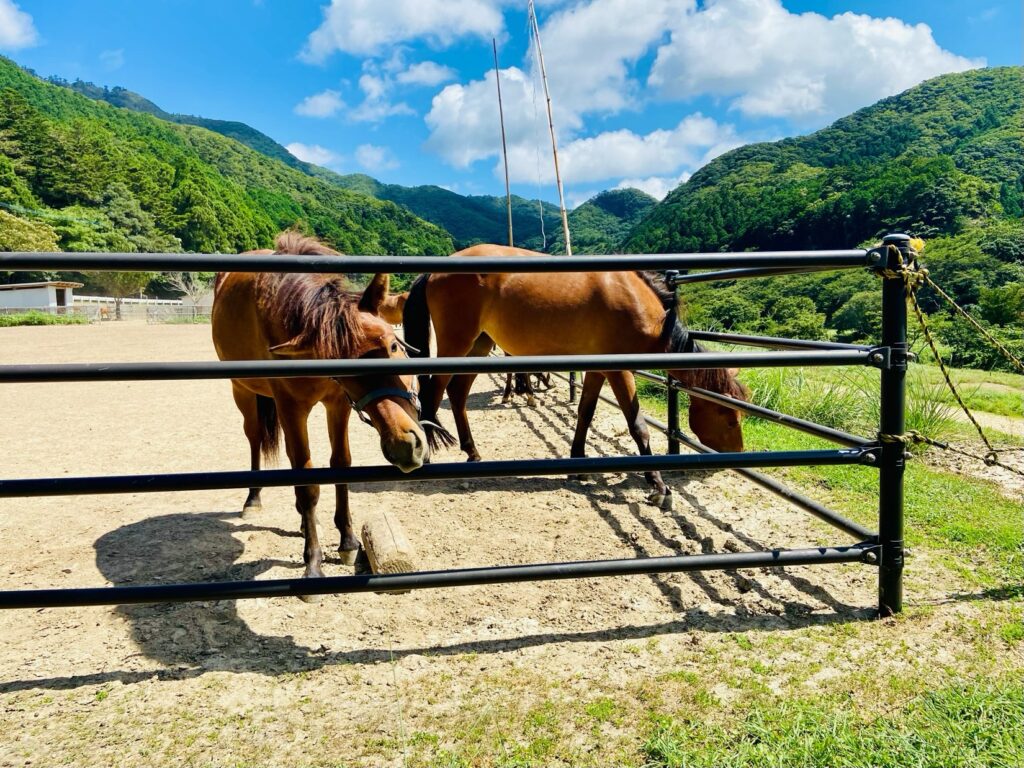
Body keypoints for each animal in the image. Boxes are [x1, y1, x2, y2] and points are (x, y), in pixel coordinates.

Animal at [211, 231, 428, 585]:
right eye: (344, 370)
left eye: (394, 345)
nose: (404, 446)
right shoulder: (290, 407)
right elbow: (308, 481)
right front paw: (312, 562)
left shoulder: (337, 404)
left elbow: (339, 464)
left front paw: (347, 541)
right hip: (243, 392)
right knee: (256, 439)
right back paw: (254, 498)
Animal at [403, 246, 749, 507]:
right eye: (731, 420)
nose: (738, 455)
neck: (636, 301)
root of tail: (435, 271)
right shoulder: (619, 370)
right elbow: (638, 426)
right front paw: (658, 486)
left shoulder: (597, 369)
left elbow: (585, 412)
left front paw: (578, 463)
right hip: (457, 344)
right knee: (433, 394)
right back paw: (430, 458)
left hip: (479, 345)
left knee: (457, 394)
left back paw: (472, 452)